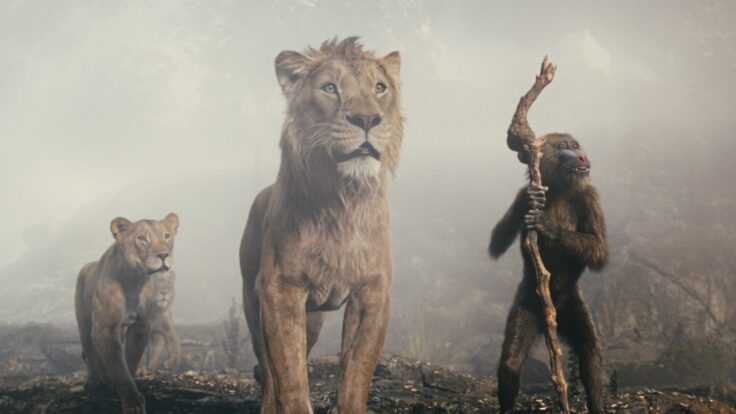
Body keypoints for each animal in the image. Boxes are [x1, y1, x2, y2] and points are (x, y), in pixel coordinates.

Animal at [75, 213, 179, 414]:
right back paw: (94, 381)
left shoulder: (141, 326)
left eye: (167, 236)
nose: (163, 255)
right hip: (84, 322)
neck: (134, 281)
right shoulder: (105, 329)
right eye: (142, 238)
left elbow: (130, 361)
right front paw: (132, 405)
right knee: (90, 350)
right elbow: (118, 367)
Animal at [239, 37, 403, 414]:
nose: (367, 118)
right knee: (268, 368)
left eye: (380, 87)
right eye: (330, 88)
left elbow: (357, 369)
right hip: (252, 300)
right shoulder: (280, 290)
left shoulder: (373, 291)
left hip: (312, 317)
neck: (342, 201)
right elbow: (289, 374)